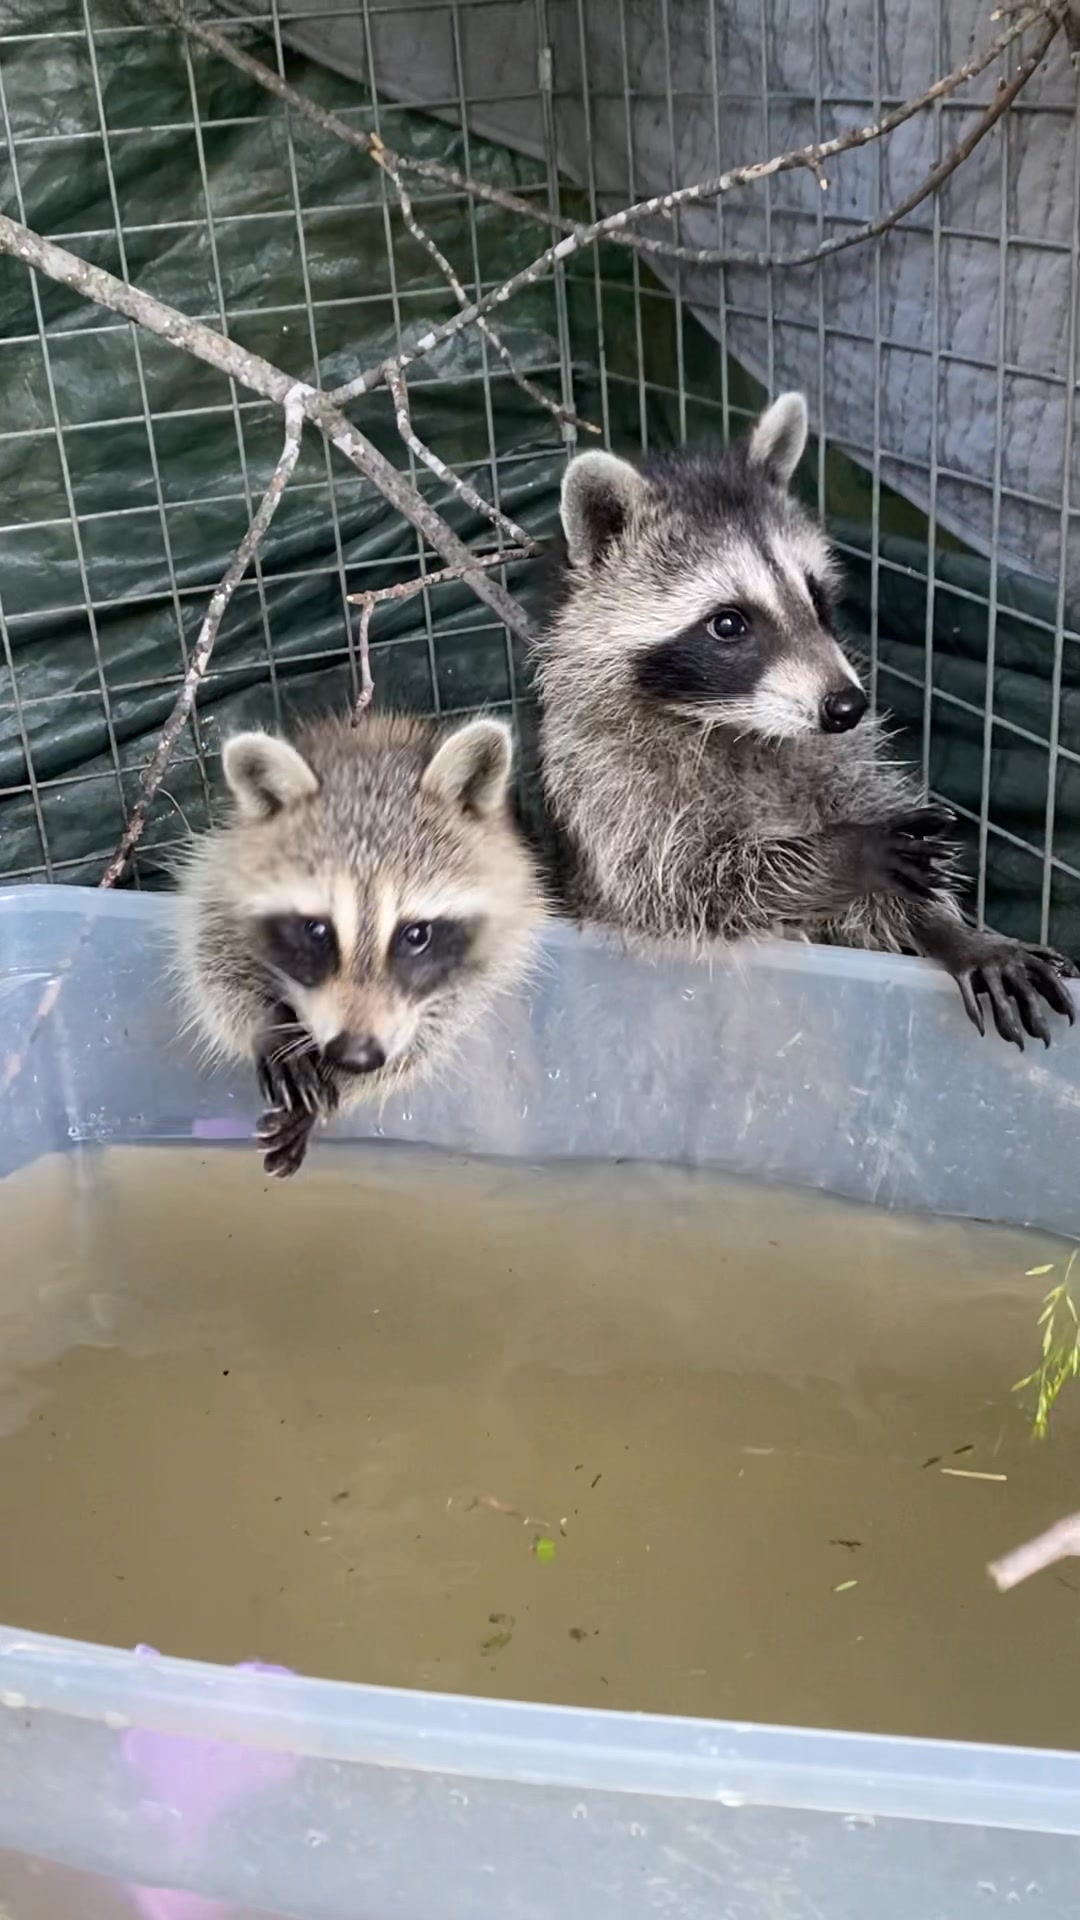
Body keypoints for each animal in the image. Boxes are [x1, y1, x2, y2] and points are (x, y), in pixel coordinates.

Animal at [175, 710, 545, 1176]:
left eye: (416, 934)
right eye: (317, 931)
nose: (354, 1056)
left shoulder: (502, 941)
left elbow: (432, 1034)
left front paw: (342, 1085)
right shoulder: (221, 869)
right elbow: (211, 956)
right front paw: (268, 1025)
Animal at [534, 392, 1076, 1047]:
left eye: (816, 596)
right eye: (729, 623)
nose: (847, 707)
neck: (737, 722)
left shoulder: (840, 755)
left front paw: (951, 930)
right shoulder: (605, 786)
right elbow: (685, 886)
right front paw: (839, 855)